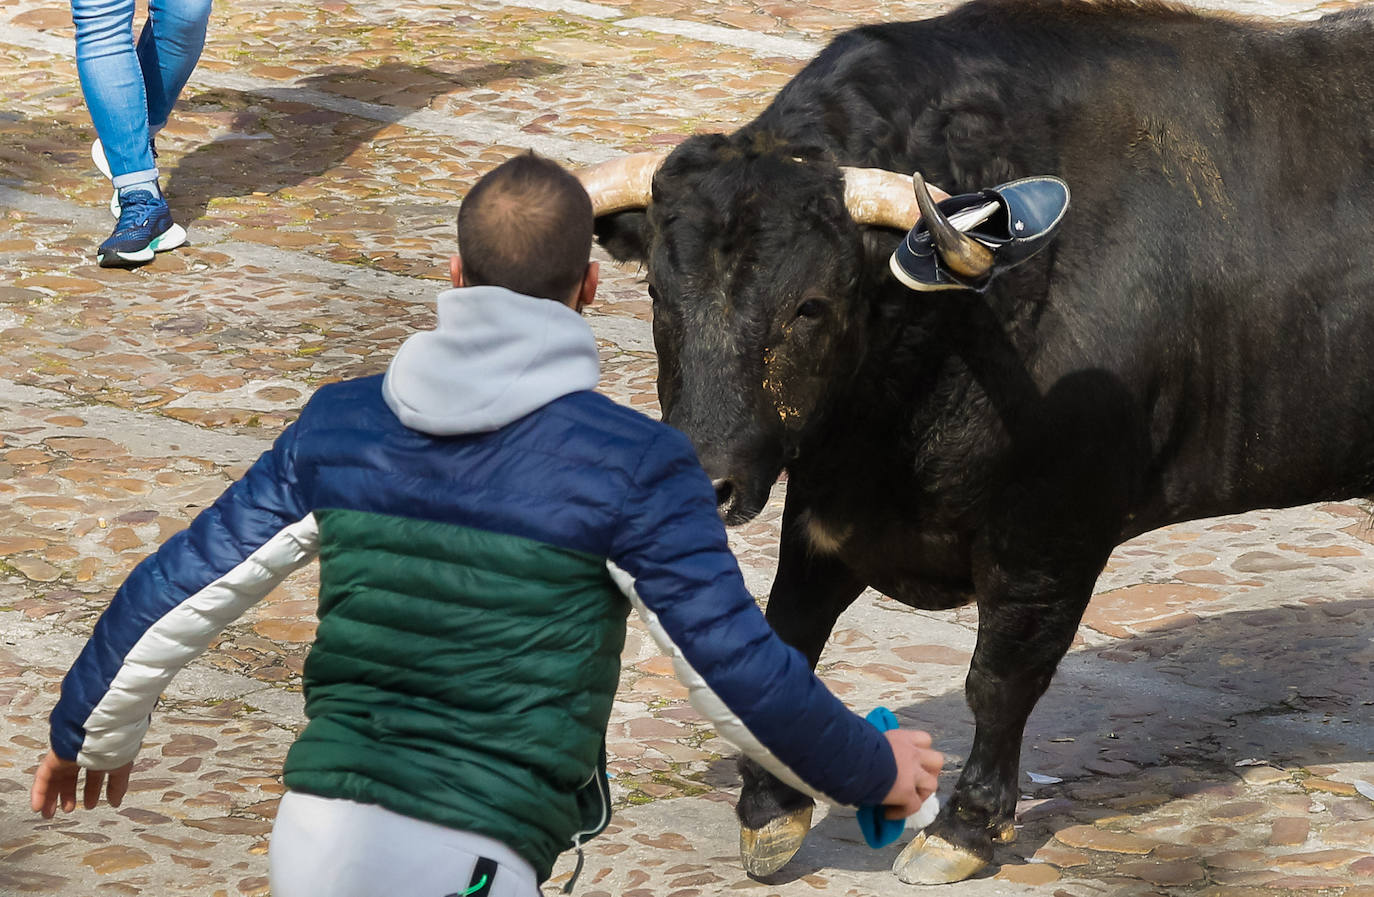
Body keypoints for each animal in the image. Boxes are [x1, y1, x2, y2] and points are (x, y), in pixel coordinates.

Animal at [588, 0, 1374, 879]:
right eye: (658, 291)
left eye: (811, 305)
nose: (705, 478)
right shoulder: (830, 512)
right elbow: (789, 637)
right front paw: (770, 807)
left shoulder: (1049, 535)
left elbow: (1000, 677)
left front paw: (962, 827)